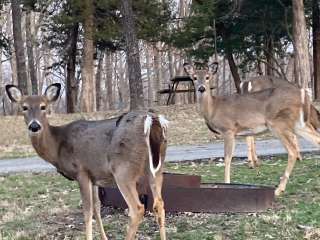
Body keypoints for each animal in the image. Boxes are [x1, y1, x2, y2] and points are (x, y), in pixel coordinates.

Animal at [5, 83, 170, 240]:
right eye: (24, 107)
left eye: (43, 106)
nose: (34, 126)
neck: (57, 145)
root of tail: (152, 120)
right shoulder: (95, 176)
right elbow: (97, 208)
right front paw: (104, 238)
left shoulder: (81, 171)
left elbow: (87, 211)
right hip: (157, 167)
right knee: (159, 204)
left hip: (124, 170)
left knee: (137, 208)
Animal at [184, 62, 320, 196]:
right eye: (194, 78)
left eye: (207, 77)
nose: (201, 88)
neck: (213, 108)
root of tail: (303, 96)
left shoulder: (228, 129)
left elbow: (227, 158)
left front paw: (227, 183)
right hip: (299, 124)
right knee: (316, 140)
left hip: (277, 124)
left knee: (292, 151)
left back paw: (279, 189)